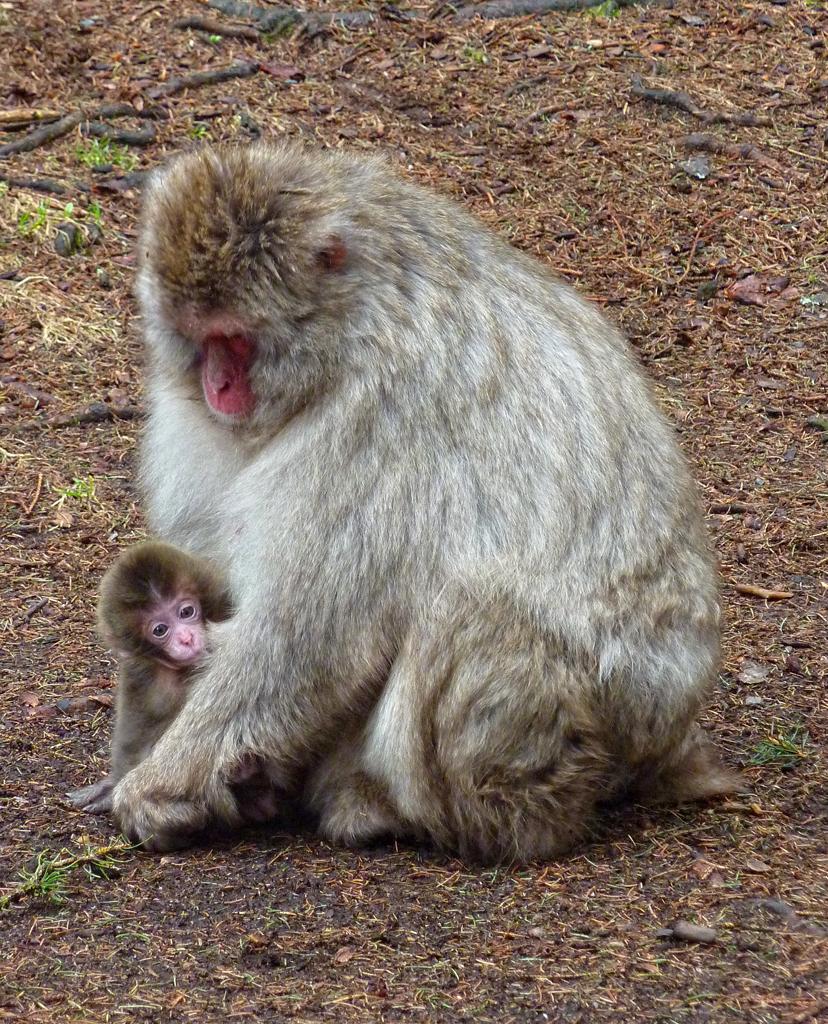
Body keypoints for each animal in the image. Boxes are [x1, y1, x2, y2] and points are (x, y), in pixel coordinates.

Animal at [111, 140, 742, 858]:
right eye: (197, 338)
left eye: (235, 338)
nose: (215, 384)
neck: (352, 328)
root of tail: (669, 739)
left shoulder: (380, 417)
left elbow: (311, 633)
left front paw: (164, 784)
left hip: (590, 726)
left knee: (469, 608)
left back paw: (412, 811)